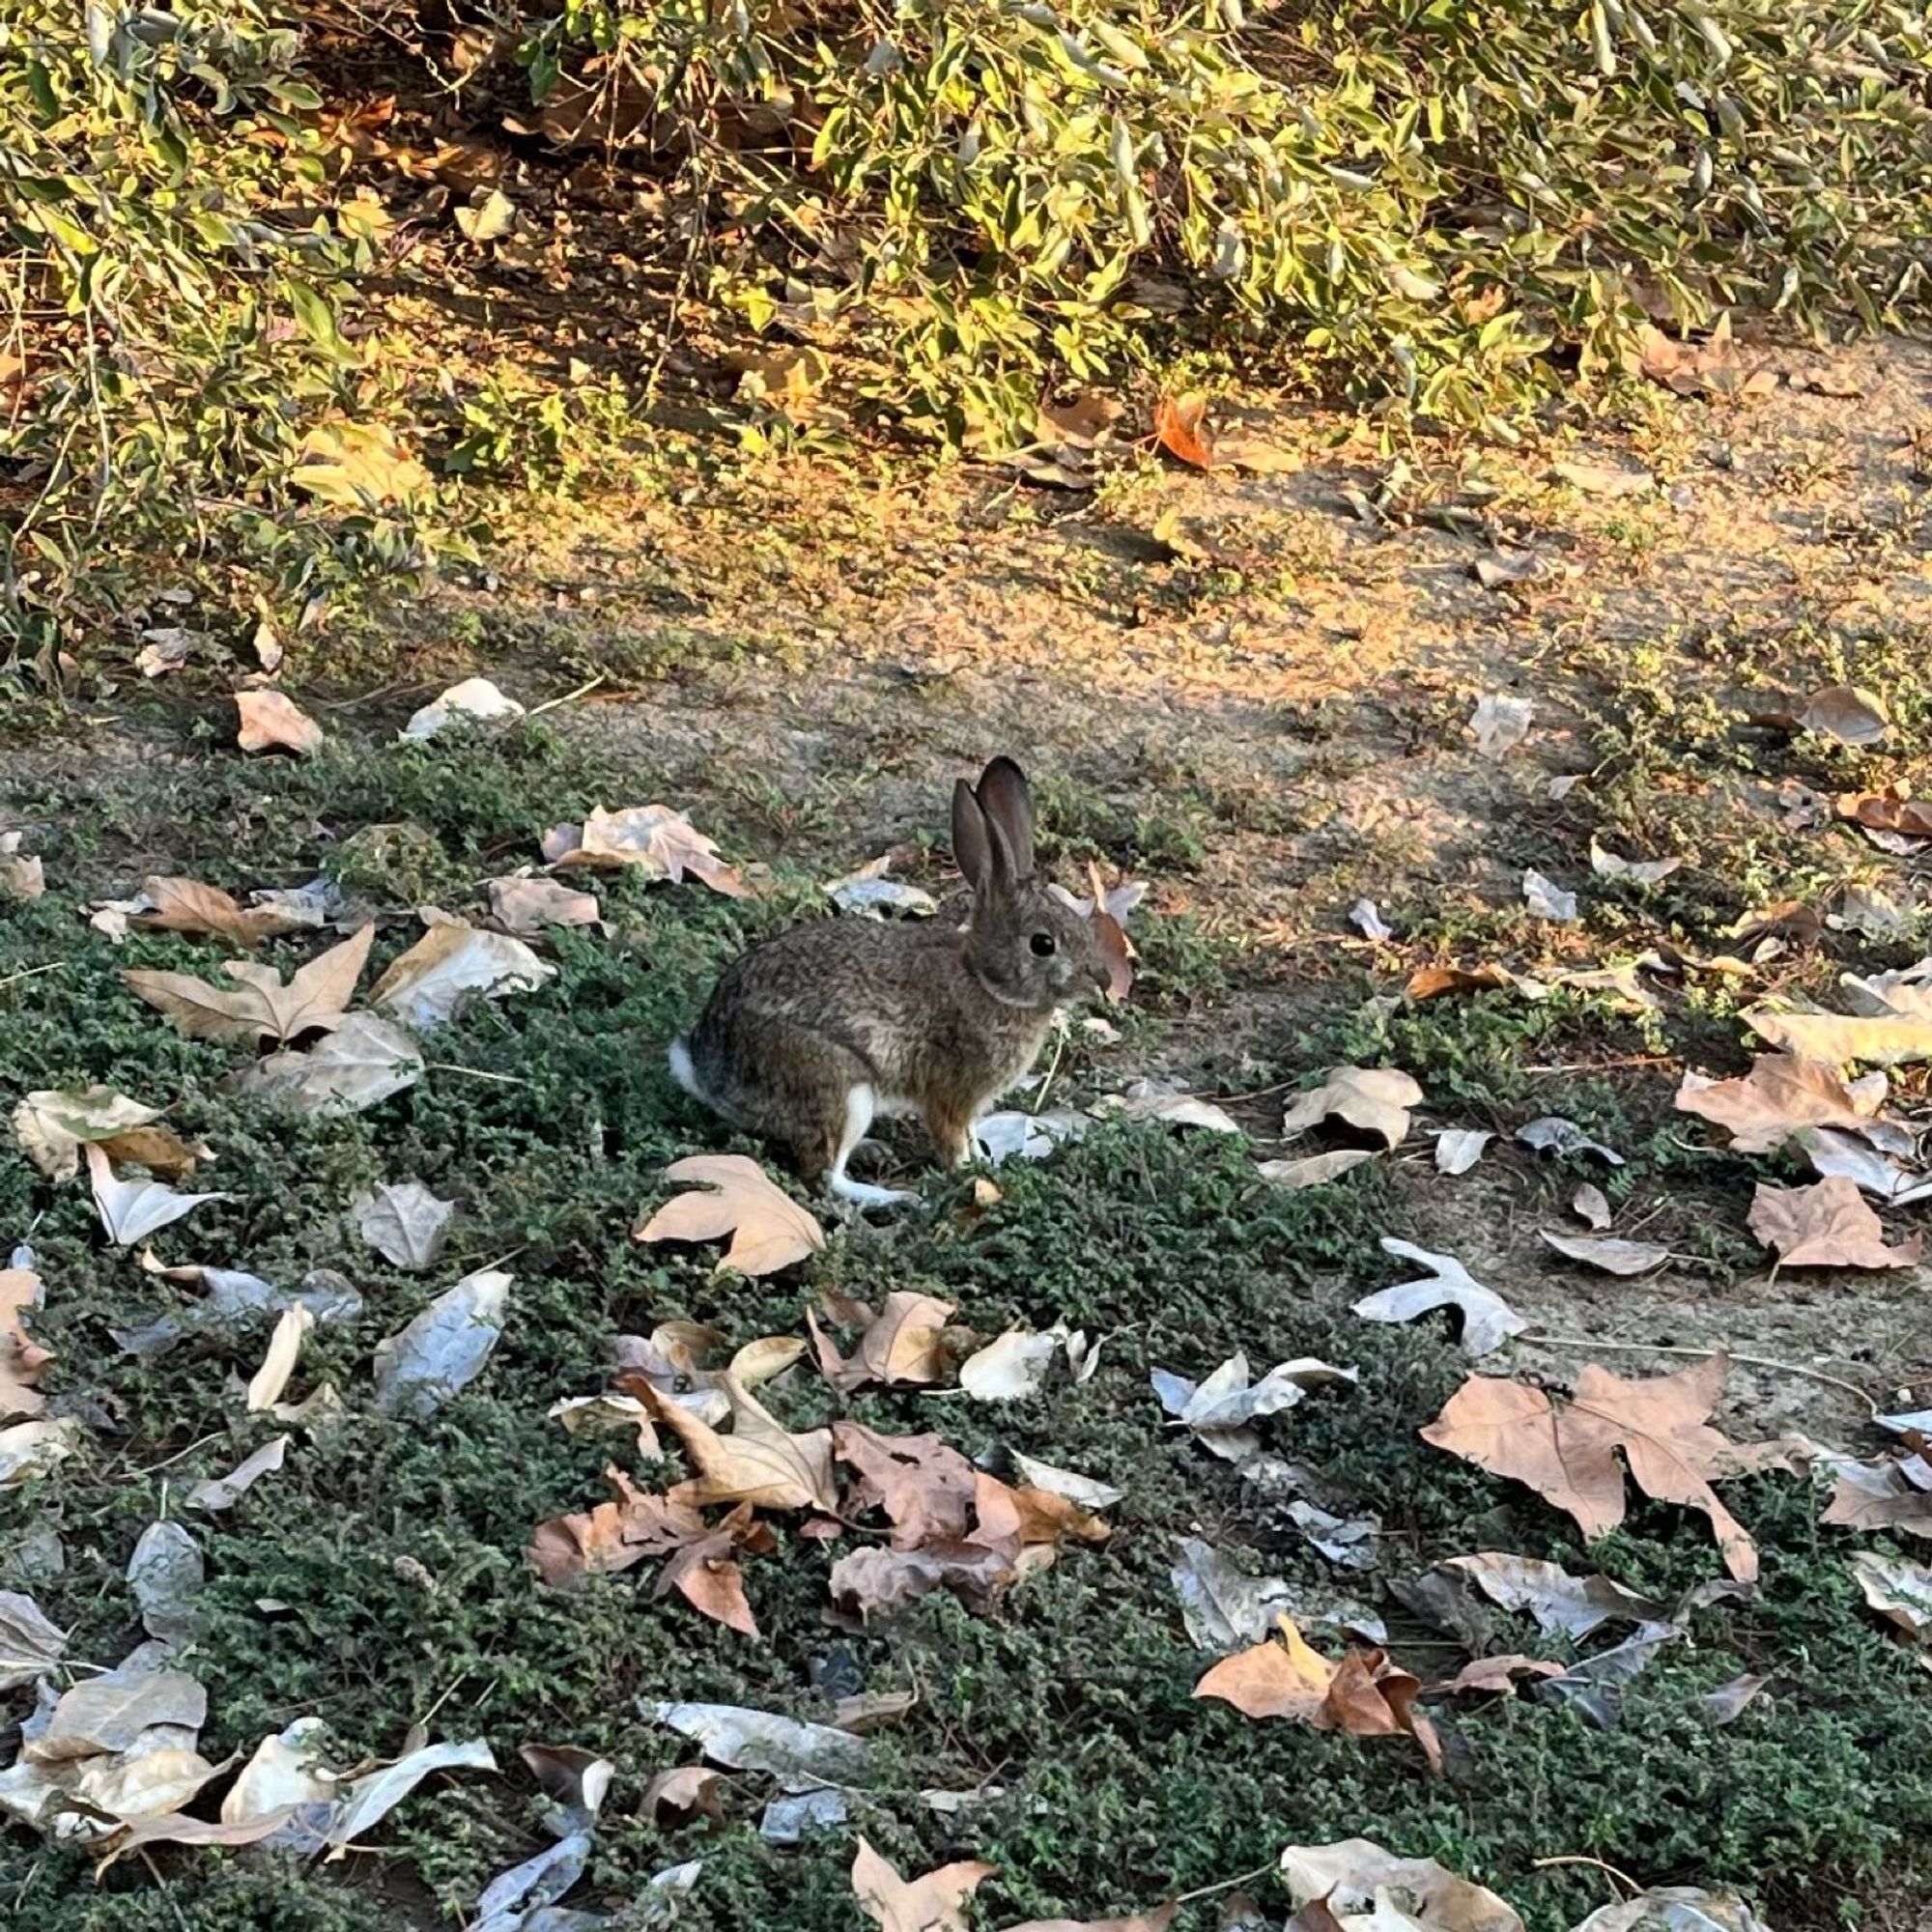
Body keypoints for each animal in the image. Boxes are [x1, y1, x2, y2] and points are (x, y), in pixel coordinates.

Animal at [668, 757, 1113, 1198]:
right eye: (1042, 944)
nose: (1103, 979)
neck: (987, 983)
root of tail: (708, 1072)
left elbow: (972, 1135)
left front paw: (988, 1164)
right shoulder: (950, 1094)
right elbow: (952, 1139)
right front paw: (967, 1174)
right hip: (840, 1085)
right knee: (824, 1176)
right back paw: (894, 1197)